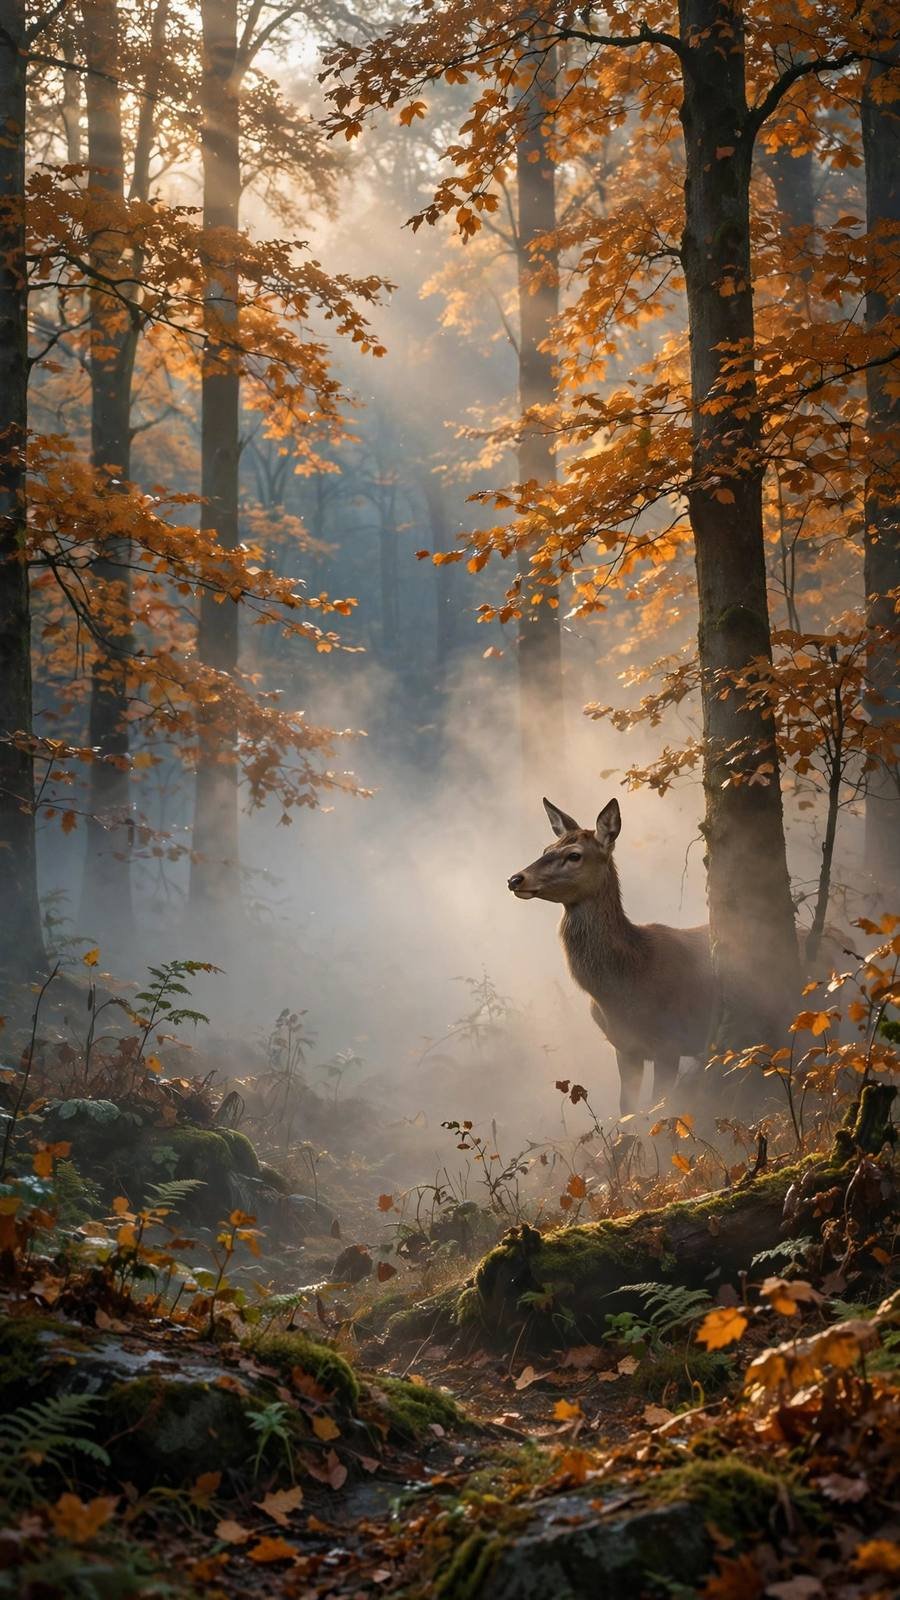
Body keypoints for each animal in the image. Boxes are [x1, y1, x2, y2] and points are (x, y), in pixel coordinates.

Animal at [507, 797, 715, 1115]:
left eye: (574, 855)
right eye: (545, 850)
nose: (515, 879)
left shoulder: (670, 1042)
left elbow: (661, 1109)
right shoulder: (624, 1047)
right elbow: (626, 1109)